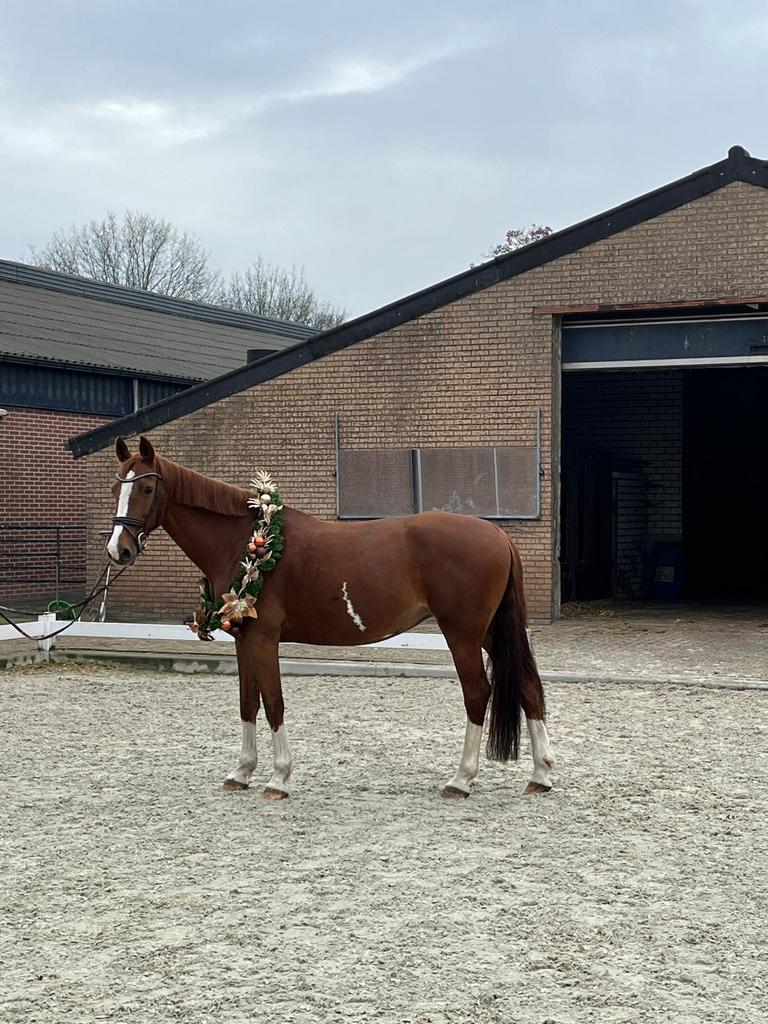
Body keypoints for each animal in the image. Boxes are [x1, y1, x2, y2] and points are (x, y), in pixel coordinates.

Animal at [107, 435, 554, 800]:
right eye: (115, 488)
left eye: (146, 487)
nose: (118, 550)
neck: (246, 542)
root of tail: (498, 534)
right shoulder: (243, 640)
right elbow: (248, 703)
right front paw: (241, 772)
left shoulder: (263, 640)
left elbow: (273, 703)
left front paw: (279, 778)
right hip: (490, 632)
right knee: (529, 688)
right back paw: (541, 775)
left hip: (462, 633)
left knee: (478, 693)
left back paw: (461, 779)